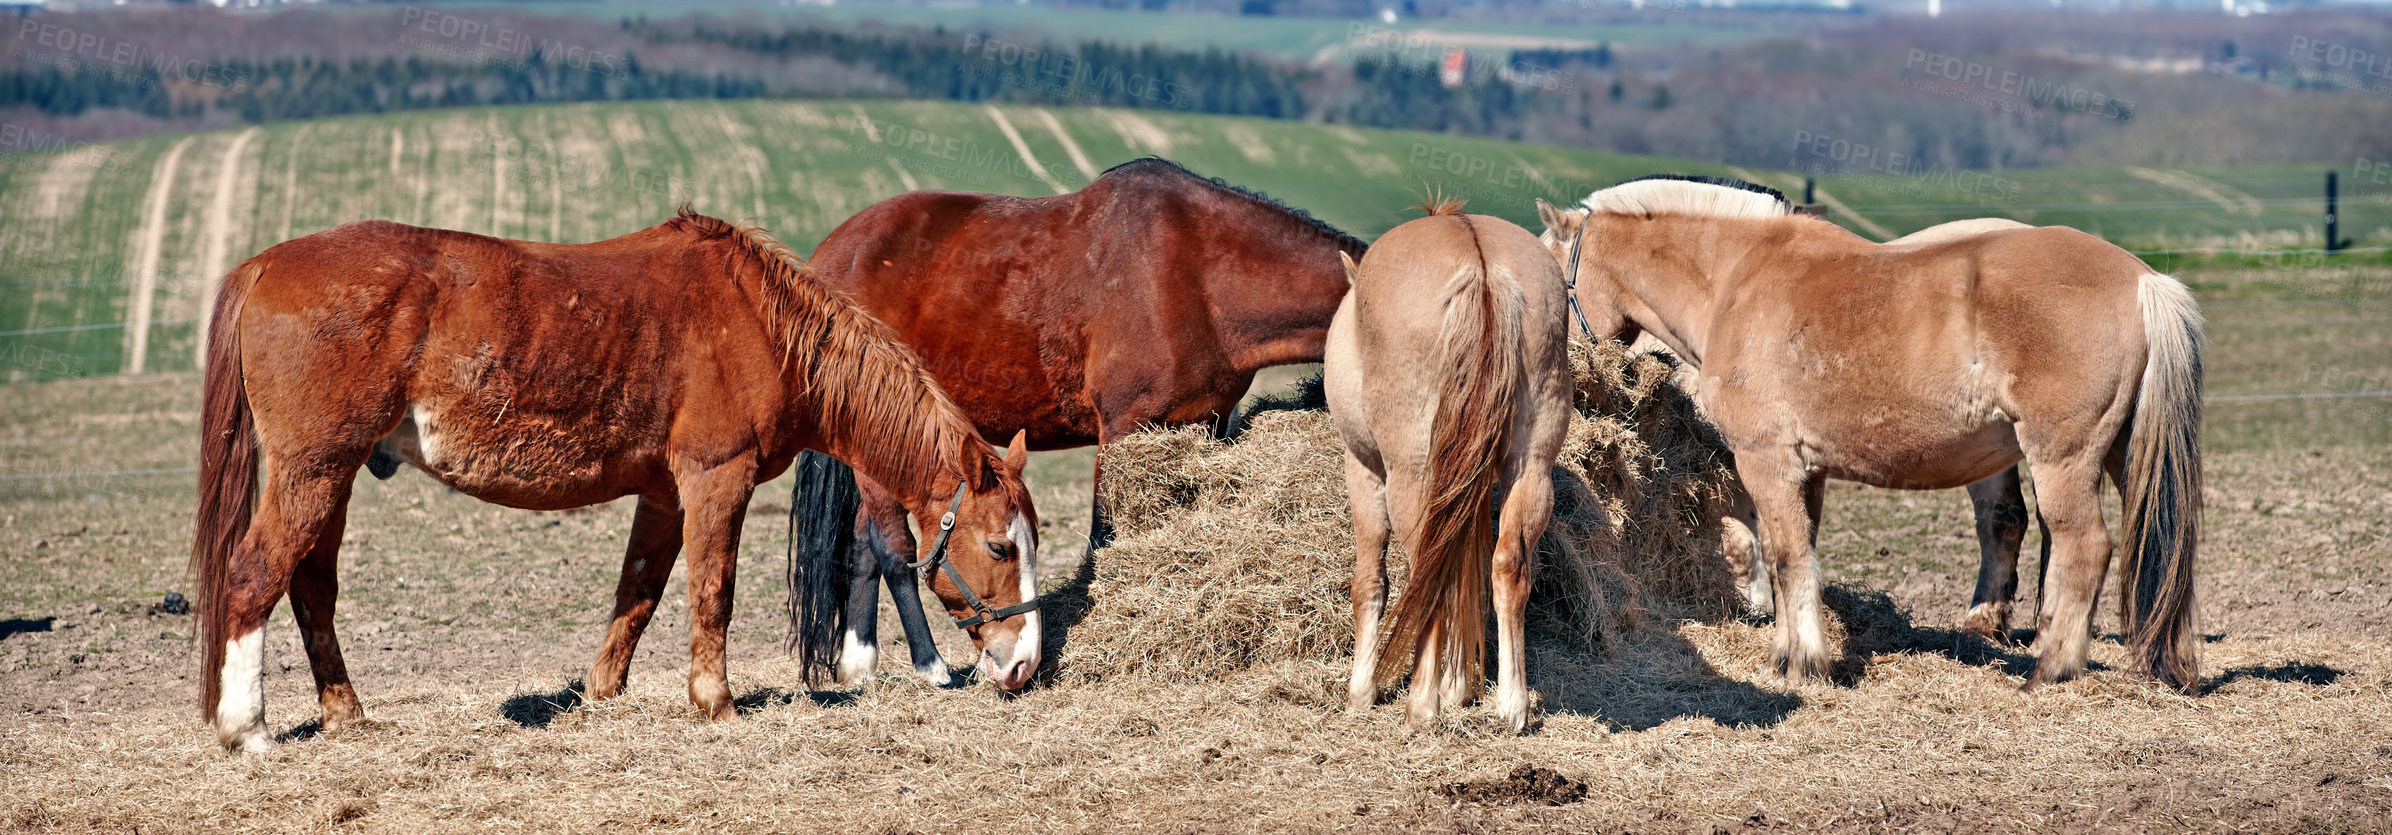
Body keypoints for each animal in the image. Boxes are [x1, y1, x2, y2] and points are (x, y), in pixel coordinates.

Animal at [186, 206, 1038, 746]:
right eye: (1001, 547)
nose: (1024, 664)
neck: (763, 323)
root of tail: (263, 266)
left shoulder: (663, 492)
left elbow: (640, 591)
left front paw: (602, 693)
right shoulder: (715, 481)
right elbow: (712, 593)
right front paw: (715, 702)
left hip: (332, 477)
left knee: (311, 588)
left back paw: (347, 714)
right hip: (313, 472)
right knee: (255, 574)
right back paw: (246, 728)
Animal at [779, 155, 1358, 684]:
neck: (1202, 276)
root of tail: (831, 254)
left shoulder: (1210, 426)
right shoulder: (1123, 428)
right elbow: (1104, 537)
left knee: (861, 545)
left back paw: (860, 666)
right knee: (890, 547)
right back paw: (931, 666)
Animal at [1320, 202, 1578, 727]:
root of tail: (1483, 269)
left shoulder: (1363, 469)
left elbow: (1370, 579)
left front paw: (1362, 691)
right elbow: (1469, 572)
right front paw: (1461, 686)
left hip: (1412, 474)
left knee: (1427, 568)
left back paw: (1422, 704)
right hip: (1530, 470)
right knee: (1508, 564)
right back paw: (1512, 706)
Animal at [1530, 179, 2200, 693]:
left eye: (1554, 283)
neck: (1735, 279)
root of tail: (2143, 280)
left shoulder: (1765, 461)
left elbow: (1784, 554)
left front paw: (1805, 663)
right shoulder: (1808, 472)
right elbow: (1793, 556)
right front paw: (1787, 648)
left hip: (2061, 459)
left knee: (2085, 547)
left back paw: (2051, 670)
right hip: (2123, 456)